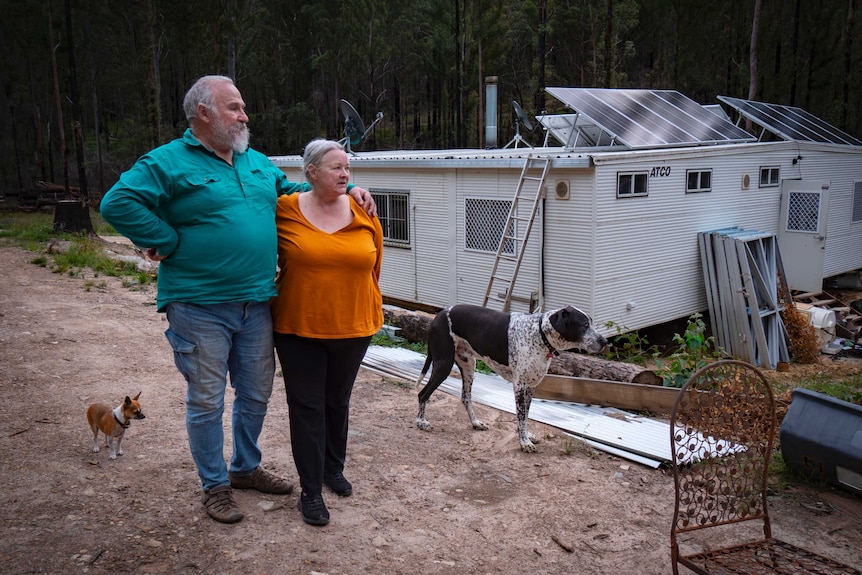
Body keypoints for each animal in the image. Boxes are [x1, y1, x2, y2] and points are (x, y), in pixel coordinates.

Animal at [416, 304, 608, 452]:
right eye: (584, 325)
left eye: (591, 323)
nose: (605, 342)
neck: (540, 333)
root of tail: (440, 314)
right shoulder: (520, 386)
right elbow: (521, 416)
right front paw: (524, 443)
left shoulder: (530, 387)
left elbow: (526, 416)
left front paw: (527, 436)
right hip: (444, 365)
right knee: (423, 394)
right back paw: (421, 422)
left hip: (469, 366)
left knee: (465, 397)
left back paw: (476, 423)